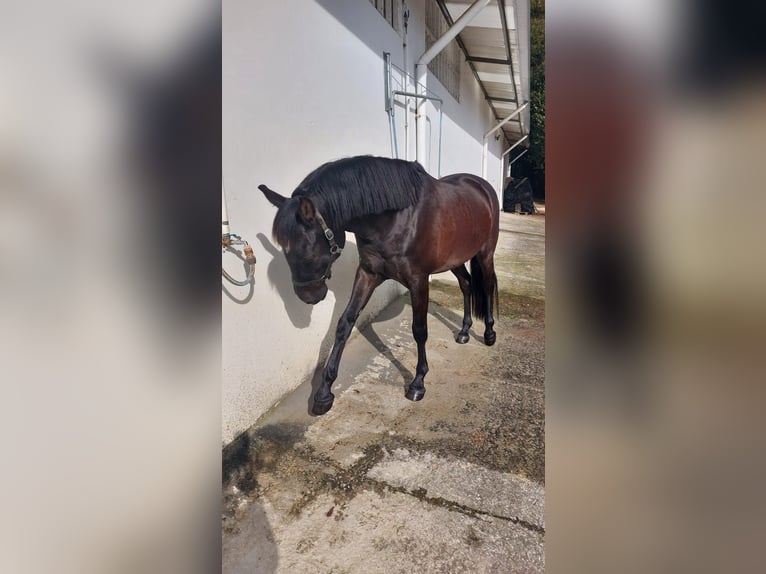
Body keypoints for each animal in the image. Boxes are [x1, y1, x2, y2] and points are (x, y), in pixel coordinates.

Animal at [259, 155, 499, 415]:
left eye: (306, 249)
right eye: (284, 249)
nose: (308, 295)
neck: (396, 218)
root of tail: (481, 186)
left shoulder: (418, 280)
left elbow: (419, 330)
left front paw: (418, 383)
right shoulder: (368, 274)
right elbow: (345, 323)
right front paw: (324, 392)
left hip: (485, 254)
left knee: (486, 287)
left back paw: (489, 334)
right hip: (454, 259)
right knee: (466, 284)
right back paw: (464, 331)